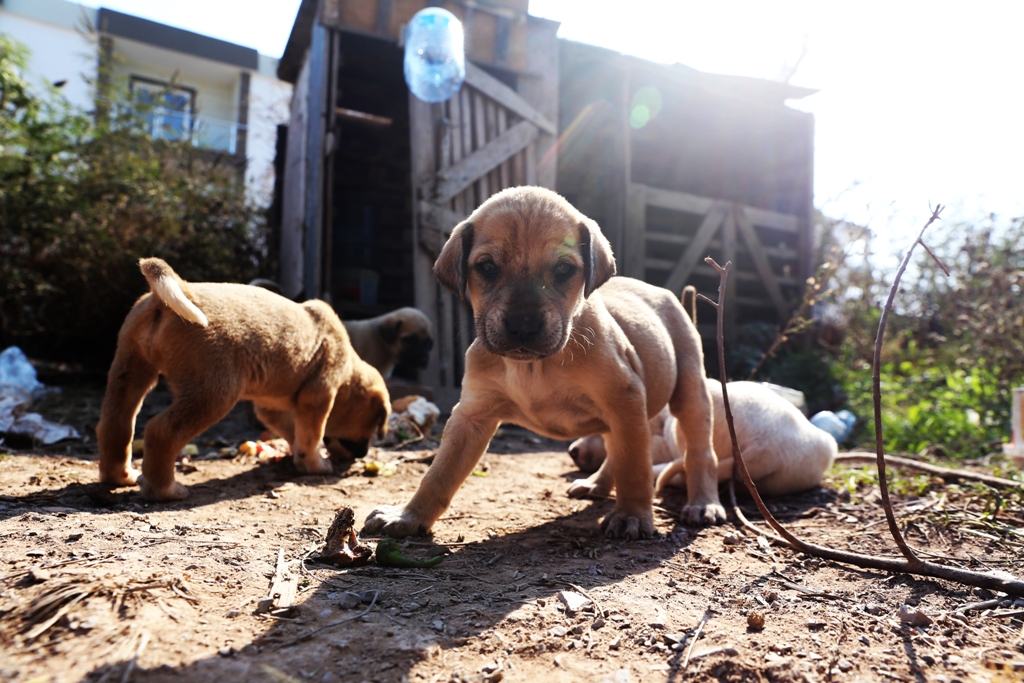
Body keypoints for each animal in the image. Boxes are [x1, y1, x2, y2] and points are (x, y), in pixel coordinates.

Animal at [96, 259, 391, 499]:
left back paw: (120, 476)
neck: (348, 373)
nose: (362, 455)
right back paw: (166, 490)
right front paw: (315, 465)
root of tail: (182, 289)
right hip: (213, 395)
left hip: (130, 372)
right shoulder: (317, 398)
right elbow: (311, 437)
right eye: (374, 423)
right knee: (161, 432)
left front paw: (298, 457)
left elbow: (293, 432)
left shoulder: (271, 407)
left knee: (116, 426)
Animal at [366, 187, 720, 540]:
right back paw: (596, 484)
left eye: (563, 269)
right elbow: (439, 473)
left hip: (689, 394)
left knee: (699, 452)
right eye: (487, 267)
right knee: (615, 450)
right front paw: (409, 516)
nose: (523, 326)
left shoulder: (624, 397)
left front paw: (632, 514)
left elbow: (634, 466)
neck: (534, 366)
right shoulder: (471, 416)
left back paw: (704, 504)